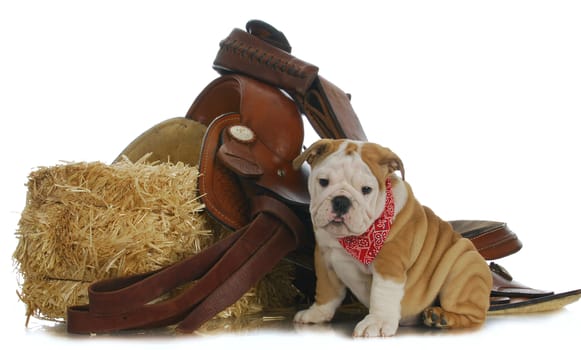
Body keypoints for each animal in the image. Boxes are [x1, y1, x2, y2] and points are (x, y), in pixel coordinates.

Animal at [294, 139, 490, 336]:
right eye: (323, 182)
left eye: (366, 189)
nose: (341, 201)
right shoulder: (324, 257)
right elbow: (327, 290)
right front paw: (317, 312)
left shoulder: (388, 262)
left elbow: (382, 294)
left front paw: (377, 322)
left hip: (464, 266)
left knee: (474, 316)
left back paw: (441, 317)